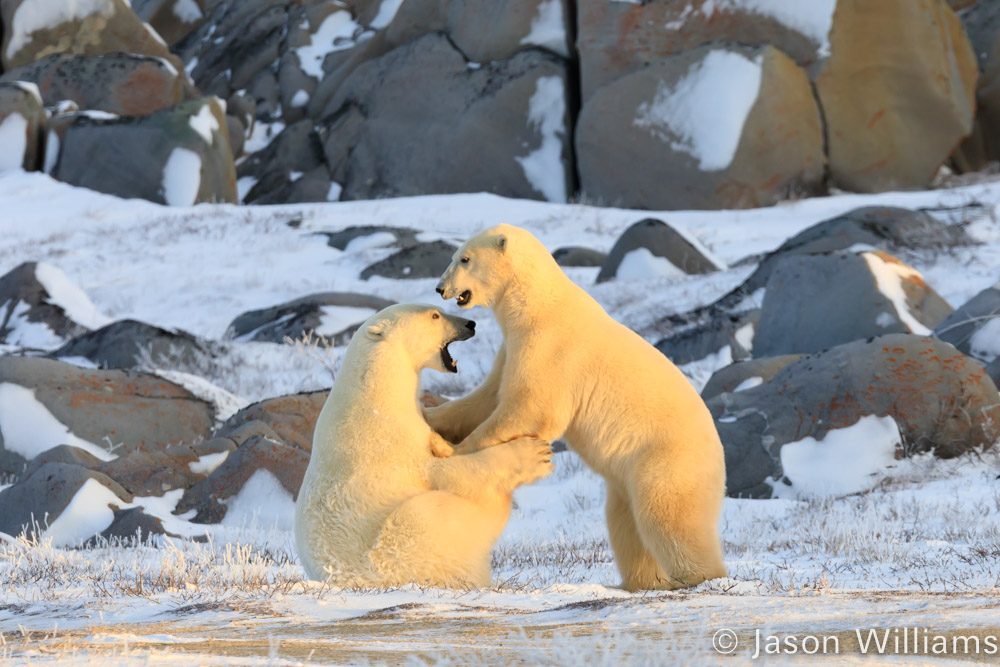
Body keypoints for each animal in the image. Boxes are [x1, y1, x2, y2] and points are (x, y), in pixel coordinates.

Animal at [294, 302, 556, 588]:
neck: (375, 393)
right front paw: (533, 454)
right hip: (401, 547)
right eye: (435, 315)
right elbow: (441, 471)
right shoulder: (391, 438)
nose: (470, 324)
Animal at [430, 227, 728, 592]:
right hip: (626, 481)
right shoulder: (512, 347)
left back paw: (692, 578)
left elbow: (531, 409)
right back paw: (638, 582)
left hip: (665, 462)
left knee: (668, 518)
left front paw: (450, 448)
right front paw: (430, 412)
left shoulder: (549, 348)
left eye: (464, 258)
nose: (440, 287)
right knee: (624, 523)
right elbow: (485, 398)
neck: (537, 305)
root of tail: (719, 456)